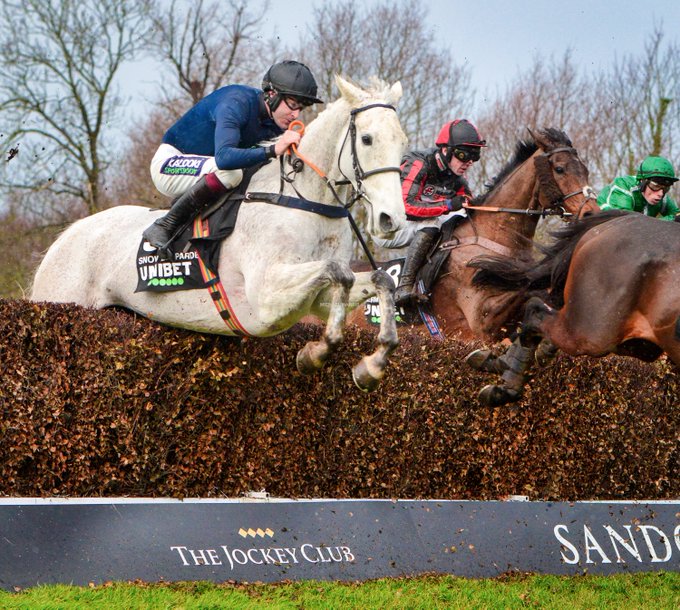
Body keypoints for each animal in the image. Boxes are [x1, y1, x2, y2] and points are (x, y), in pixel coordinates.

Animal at [31, 76, 410, 390]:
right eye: (367, 139)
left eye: (402, 144)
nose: (391, 220)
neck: (306, 200)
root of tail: (64, 239)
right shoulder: (266, 298)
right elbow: (339, 272)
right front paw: (314, 353)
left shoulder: (316, 300)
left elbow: (379, 280)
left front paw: (372, 366)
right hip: (63, 298)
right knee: (225, 171)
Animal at [348, 127, 596, 342]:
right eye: (560, 169)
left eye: (585, 169)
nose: (591, 212)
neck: (493, 236)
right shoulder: (480, 321)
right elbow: (527, 289)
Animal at [470, 208, 680, 404]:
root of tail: (622, 220)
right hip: (593, 332)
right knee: (535, 311)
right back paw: (506, 386)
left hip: (638, 341)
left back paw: (502, 364)